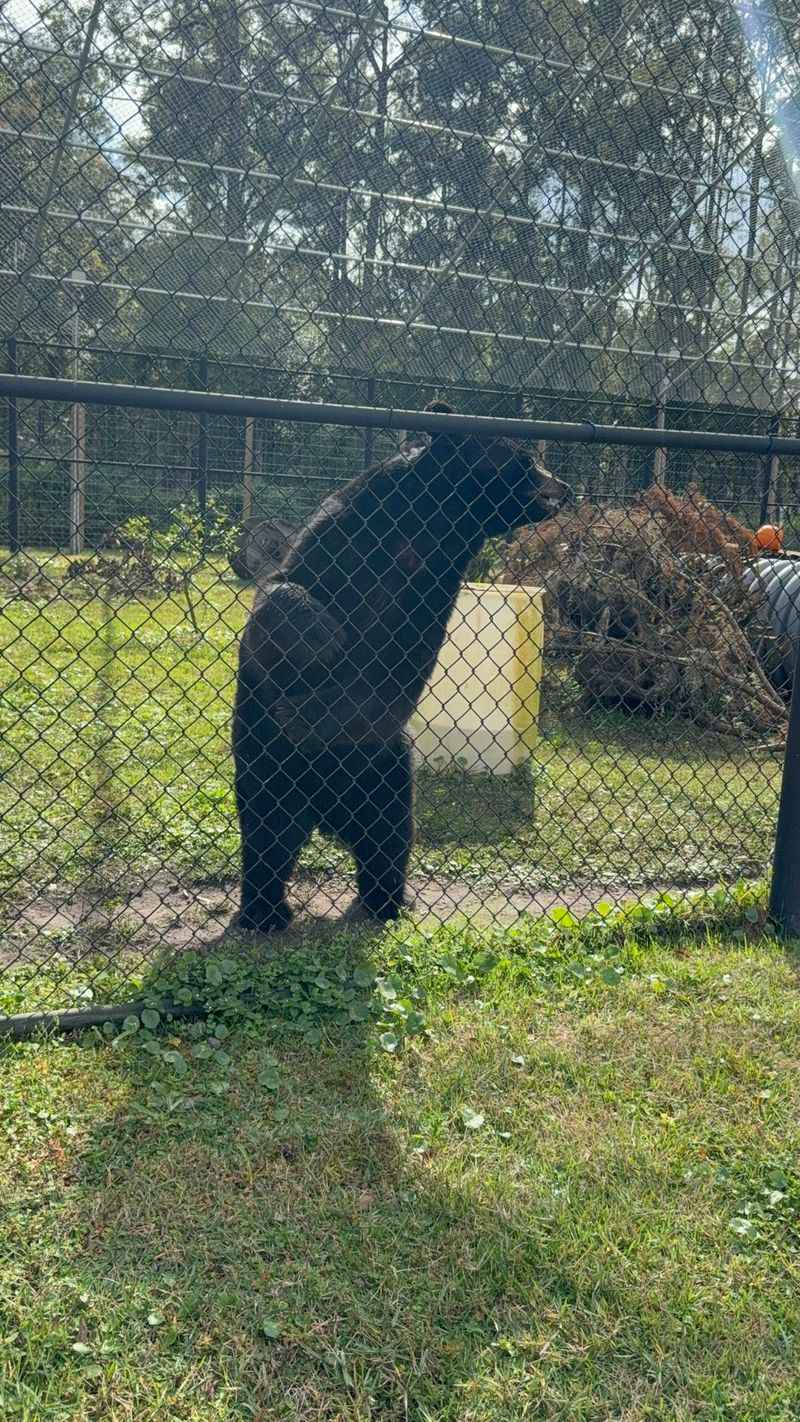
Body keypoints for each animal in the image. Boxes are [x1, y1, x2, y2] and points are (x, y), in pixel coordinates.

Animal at [231, 401, 571, 934]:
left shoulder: (436, 582)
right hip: (266, 761)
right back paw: (263, 912)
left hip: (386, 769)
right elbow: (283, 584)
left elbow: (397, 661)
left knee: (387, 835)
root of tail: (326, 813)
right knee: (267, 833)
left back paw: (385, 901)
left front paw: (307, 710)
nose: (563, 486)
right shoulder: (350, 524)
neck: (434, 522)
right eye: (525, 458)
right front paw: (320, 640)